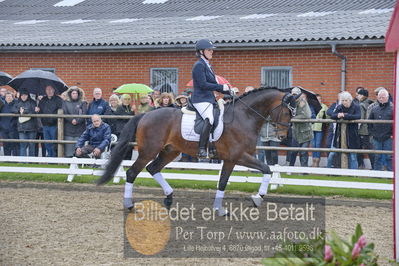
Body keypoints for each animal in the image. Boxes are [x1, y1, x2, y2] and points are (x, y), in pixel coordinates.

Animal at [96, 87, 296, 216]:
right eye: (287, 112)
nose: (283, 136)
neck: (244, 117)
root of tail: (145, 114)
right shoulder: (237, 157)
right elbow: (262, 170)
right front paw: (255, 199)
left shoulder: (234, 159)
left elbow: (229, 180)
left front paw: (224, 207)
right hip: (149, 151)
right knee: (132, 172)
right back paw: (130, 205)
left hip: (170, 151)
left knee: (153, 168)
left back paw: (169, 199)